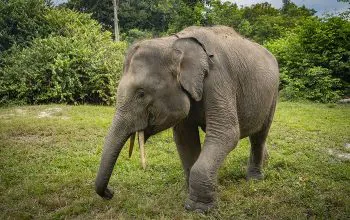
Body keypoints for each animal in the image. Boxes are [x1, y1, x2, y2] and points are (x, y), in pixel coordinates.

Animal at [94, 26, 280, 213]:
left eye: (141, 94)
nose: (110, 193)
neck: (173, 42)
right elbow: (185, 138)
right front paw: (191, 194)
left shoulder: (219, 79)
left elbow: (226, 133)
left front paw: (198, 208)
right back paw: (265, 161)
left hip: (273, 95)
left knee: (259, 135)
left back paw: (254, 179)